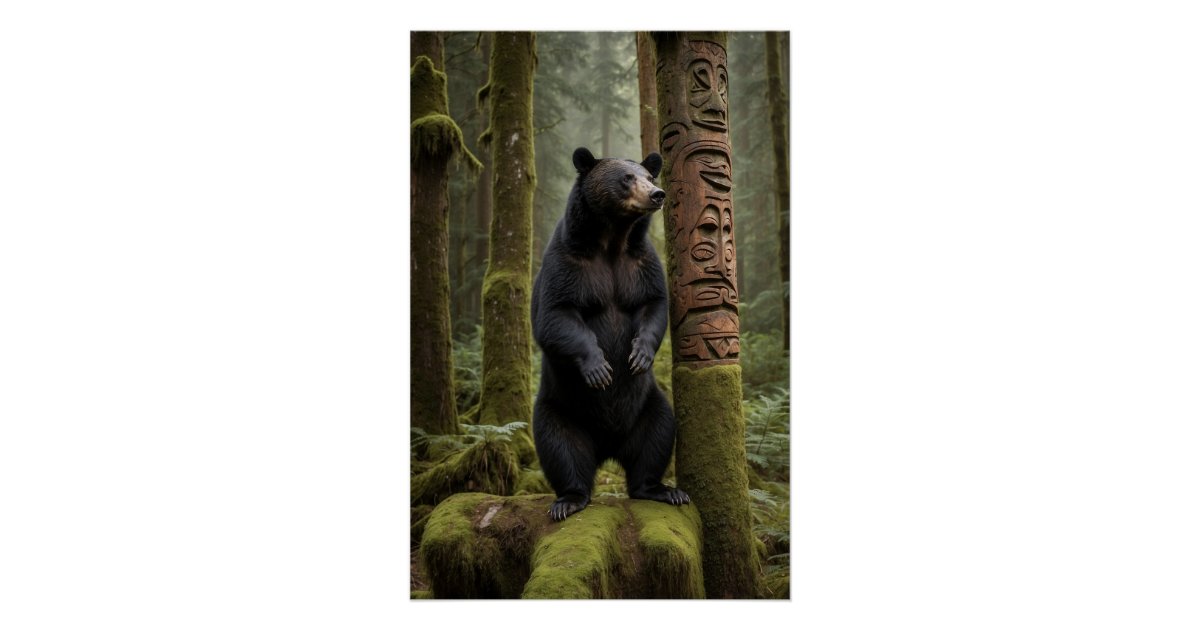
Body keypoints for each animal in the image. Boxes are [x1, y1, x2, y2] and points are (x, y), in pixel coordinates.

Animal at [531, 146, 690, 521]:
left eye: (649, 175)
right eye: (626, 178)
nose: (657, 194)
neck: (612, 238)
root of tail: (608, 446)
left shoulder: (640, 263)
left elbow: (654, 304)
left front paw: (639, 355)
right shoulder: (568, 263)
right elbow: (556, 315)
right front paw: (600, 369)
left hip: (649, 404)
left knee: (658, 436)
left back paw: (663, 489)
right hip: (560, 408)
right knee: (560, 448)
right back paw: (569, 499)